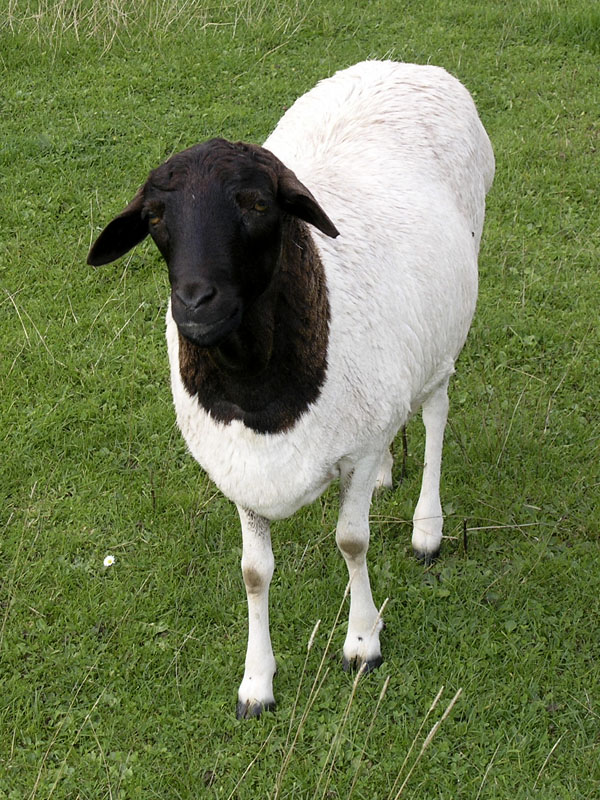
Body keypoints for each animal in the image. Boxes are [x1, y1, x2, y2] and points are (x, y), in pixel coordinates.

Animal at [86, 59, 494, 716]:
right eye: (154, 218)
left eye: (257, 204)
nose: (194, 304)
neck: (257, 388)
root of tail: (408, 64)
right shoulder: (240, 470)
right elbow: (254, 572)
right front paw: (257, 682)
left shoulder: (349, 456)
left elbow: (352, 541)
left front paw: (363, 643)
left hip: (445, 330)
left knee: (434, 411)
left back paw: (428, 528)